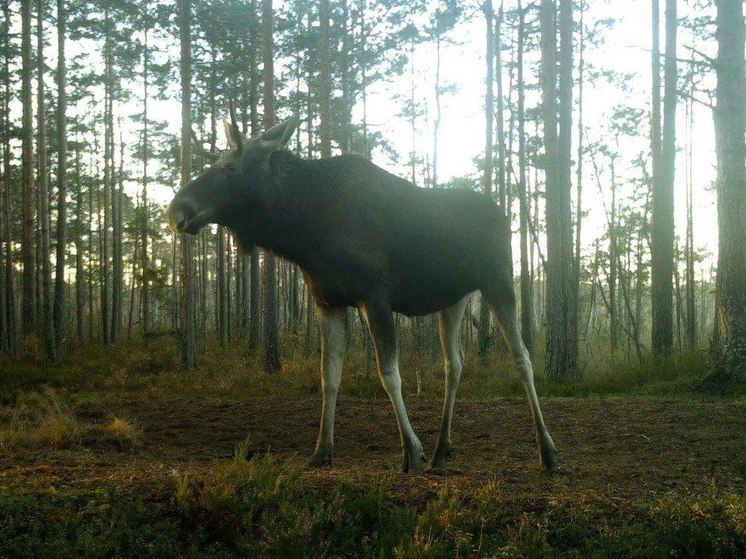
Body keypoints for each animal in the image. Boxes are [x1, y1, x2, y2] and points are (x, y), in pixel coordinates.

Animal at [169, 111, 560, 474]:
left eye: (229, 167)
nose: (176, 210)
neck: (302, 231)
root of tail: (504, 213)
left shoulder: (374, 297)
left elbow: (389, 374)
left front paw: (411, 451)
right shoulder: (327, 301)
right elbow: (329, 376)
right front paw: (322, 451)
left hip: (499, 281)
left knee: (523, 356)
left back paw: (547, 450)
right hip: (455, 299)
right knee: (455, 363)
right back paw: (442, 449)